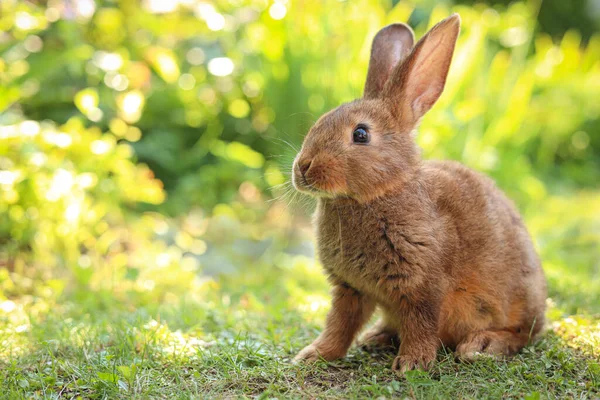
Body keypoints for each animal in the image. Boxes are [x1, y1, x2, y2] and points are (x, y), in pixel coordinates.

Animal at [290, 13, 548, 376]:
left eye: (360, 134)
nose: (303, 167)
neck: (379, 194)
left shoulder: (422, 285)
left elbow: (421, 322)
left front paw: (411, 365)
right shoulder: (350, 288)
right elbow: (340, 325)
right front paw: (313, 355)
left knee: (522, 333)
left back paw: (480, 346)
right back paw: (377, 337)